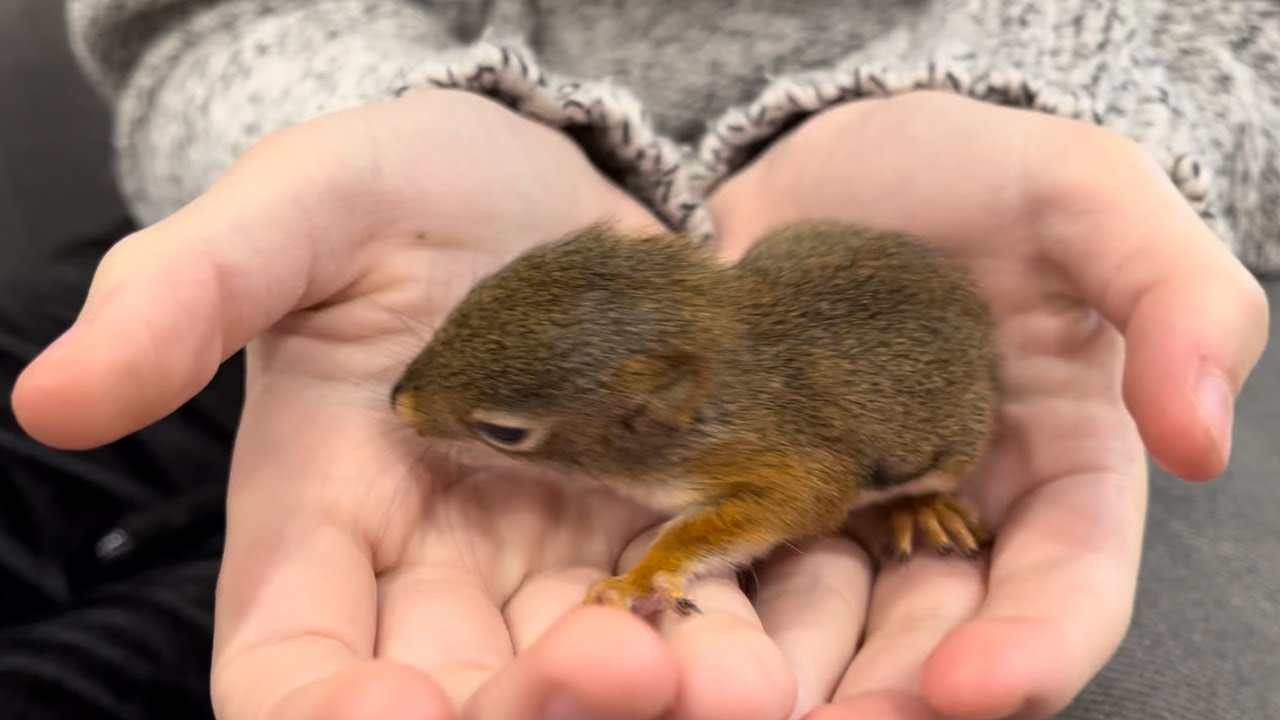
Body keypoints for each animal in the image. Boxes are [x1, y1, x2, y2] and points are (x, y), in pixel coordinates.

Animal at [390, 220, 998, 616]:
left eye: (504, 433)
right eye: (472, 296)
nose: (400, 401)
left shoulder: (787, 467)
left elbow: (781, 508)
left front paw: (643, 576)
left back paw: (923, 508)